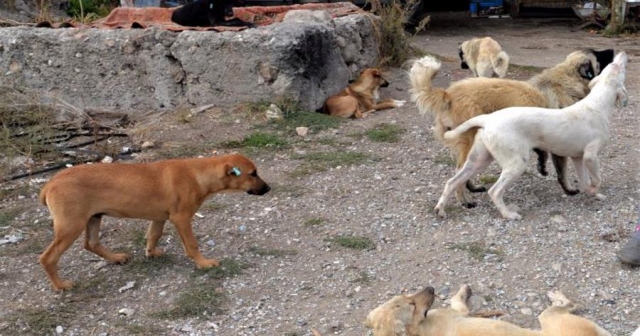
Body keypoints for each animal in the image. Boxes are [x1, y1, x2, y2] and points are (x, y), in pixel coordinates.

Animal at [39, 154, 270, 290]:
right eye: (253, 174)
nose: (268, 188)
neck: (197, 174)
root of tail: (50, 184)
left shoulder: (159, 218)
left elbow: (154, 235)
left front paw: (151, 253)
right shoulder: (181, 218)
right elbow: (192, 245)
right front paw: (204, 263)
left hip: (94, 218)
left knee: (91, 243)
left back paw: (116, 258)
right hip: (71, 225)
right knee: (48, 257)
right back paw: (61, 285)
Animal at [410, 49, 616, 209]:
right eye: (598, 54)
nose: (613, 50)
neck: (566, 79)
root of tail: (448, 94)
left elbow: (543, 155)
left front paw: (542, 167)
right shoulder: (560, 143)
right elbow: (561, 172)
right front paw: (569, 189)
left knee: (462, 172)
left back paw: (472, 188)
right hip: (469, 141)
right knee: (458, 173)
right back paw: (464, 200)